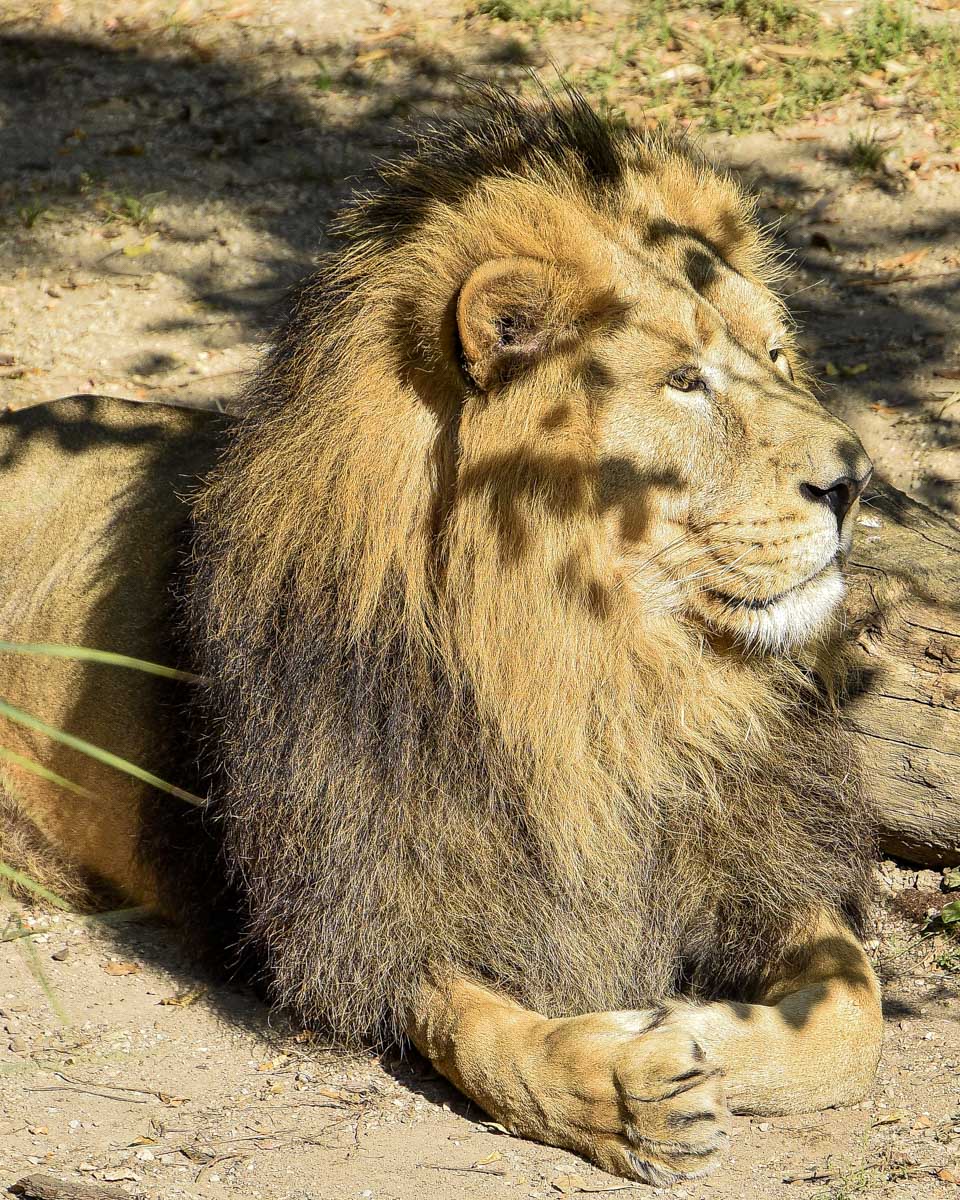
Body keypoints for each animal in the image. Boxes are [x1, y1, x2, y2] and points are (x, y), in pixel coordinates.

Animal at [0, 89, 881, 1185]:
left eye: (776, 356)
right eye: (683, 381)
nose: (855, 478)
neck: (599, 675)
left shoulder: (757, 853)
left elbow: (853, 1016)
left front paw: (692, 1021)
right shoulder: (367, 898)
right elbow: (485, 1033)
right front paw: (621, 1086)